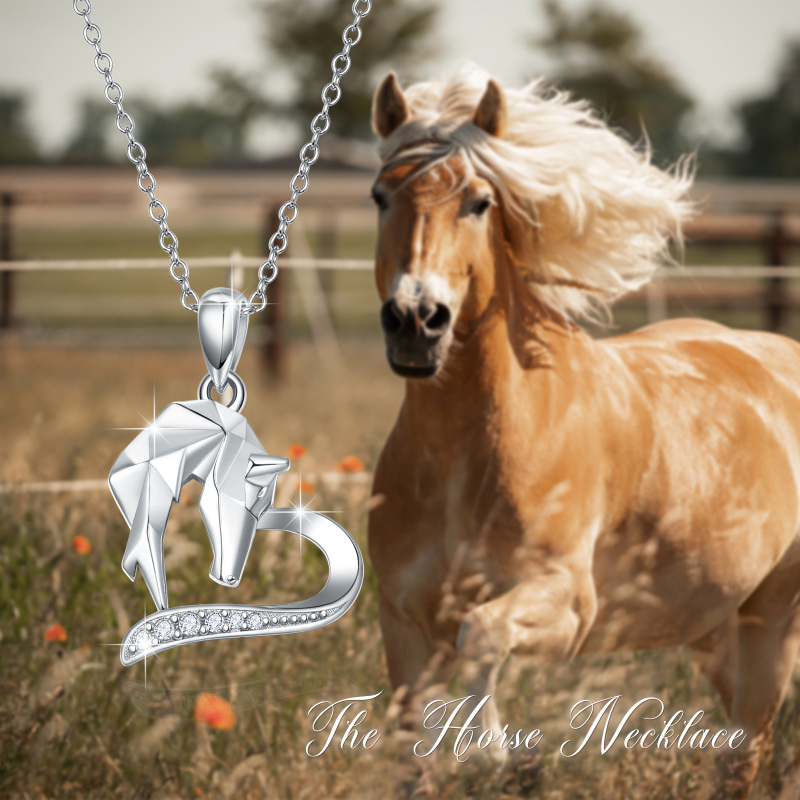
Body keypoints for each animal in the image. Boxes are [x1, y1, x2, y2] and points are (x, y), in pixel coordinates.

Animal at [366, 67, 800, 798]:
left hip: (772, 621)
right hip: (716, 630)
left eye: (479, 202)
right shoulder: (405, 628)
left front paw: (484, 745)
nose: (416, 321)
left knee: (743, 753)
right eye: (379, 196)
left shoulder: (566, 602)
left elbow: (483, 632)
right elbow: (413, 758)